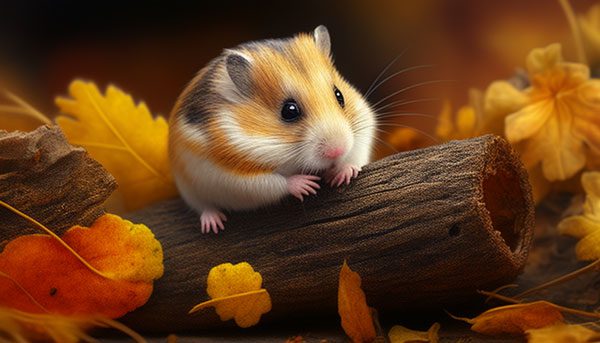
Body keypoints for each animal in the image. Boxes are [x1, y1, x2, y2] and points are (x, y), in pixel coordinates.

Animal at [169, 24, 376, 234]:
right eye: (289, 111)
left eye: (339, 95)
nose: (337, 151)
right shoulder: (234, 174)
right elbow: (274, 182)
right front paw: (308, 185)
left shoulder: (363, 129)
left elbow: (355, 155)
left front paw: (342, 174)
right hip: (188, 186)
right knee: (202, 205)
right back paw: (213, 224)